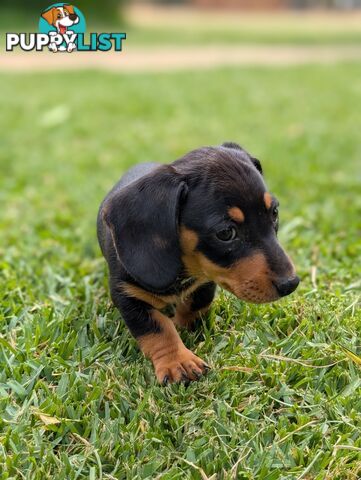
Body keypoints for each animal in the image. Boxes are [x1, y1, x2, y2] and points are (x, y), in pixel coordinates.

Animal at [96, 142, 298, 382]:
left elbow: (196, 305)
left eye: (274, 212)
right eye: (226, 233)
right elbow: (157, 328)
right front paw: (178, 361)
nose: (291, 284)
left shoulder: (205, 280)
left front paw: (185, 328)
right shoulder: (126, 294)